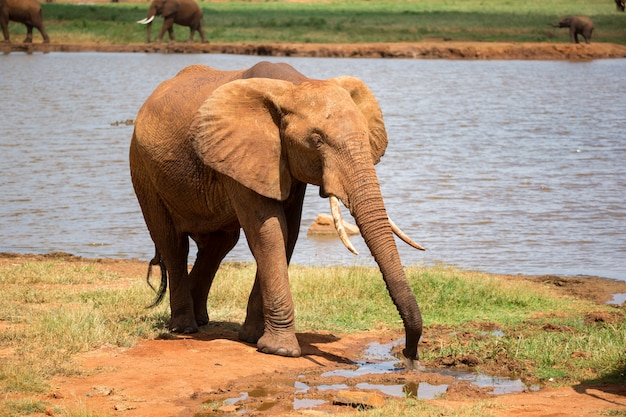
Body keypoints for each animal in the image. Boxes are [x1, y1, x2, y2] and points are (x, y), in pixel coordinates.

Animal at [130, 61, 424, 368]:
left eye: (366, 136)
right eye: (316, 140)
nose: (409, 356)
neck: (294, 86)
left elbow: (288, 231)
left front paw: (253, 338)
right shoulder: (247, 151)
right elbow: (270, 229)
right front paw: (281, 350)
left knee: (219, 245)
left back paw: (201, 320)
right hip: (142, 168)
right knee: (173, 243)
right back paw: (184, 327)